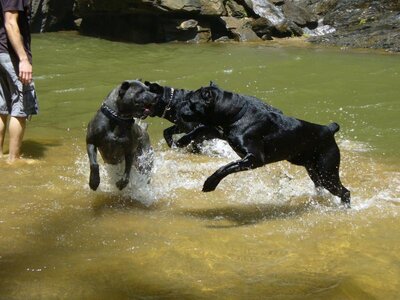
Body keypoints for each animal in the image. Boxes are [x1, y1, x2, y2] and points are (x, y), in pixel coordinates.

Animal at [178, 83, 350, 207]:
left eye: (190, 101)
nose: (179, 106)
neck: (237, 114)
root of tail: (328, 129)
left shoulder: (254, 159)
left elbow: (226, 167)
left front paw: (210, 183)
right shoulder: (223, 133)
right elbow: (202, 129)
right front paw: (183, 140)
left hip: (327, 173)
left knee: (345, 192)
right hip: (314, 171)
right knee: (322, 187)